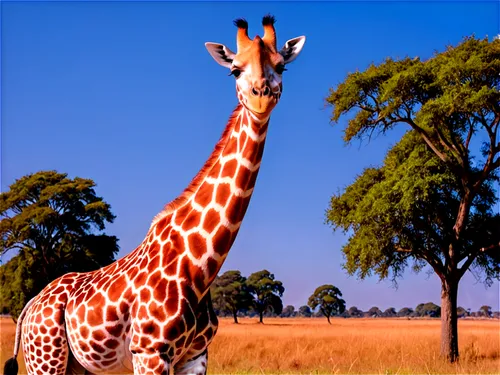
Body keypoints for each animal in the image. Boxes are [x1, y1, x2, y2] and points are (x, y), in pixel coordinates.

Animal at [2, 14, 304, 375]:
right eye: (234, 70)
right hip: (45, 359)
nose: (261, 96)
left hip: (78, 366)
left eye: (281, 66)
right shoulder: (149, 352)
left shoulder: (197, 354)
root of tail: (30, 305)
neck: (201, 264)